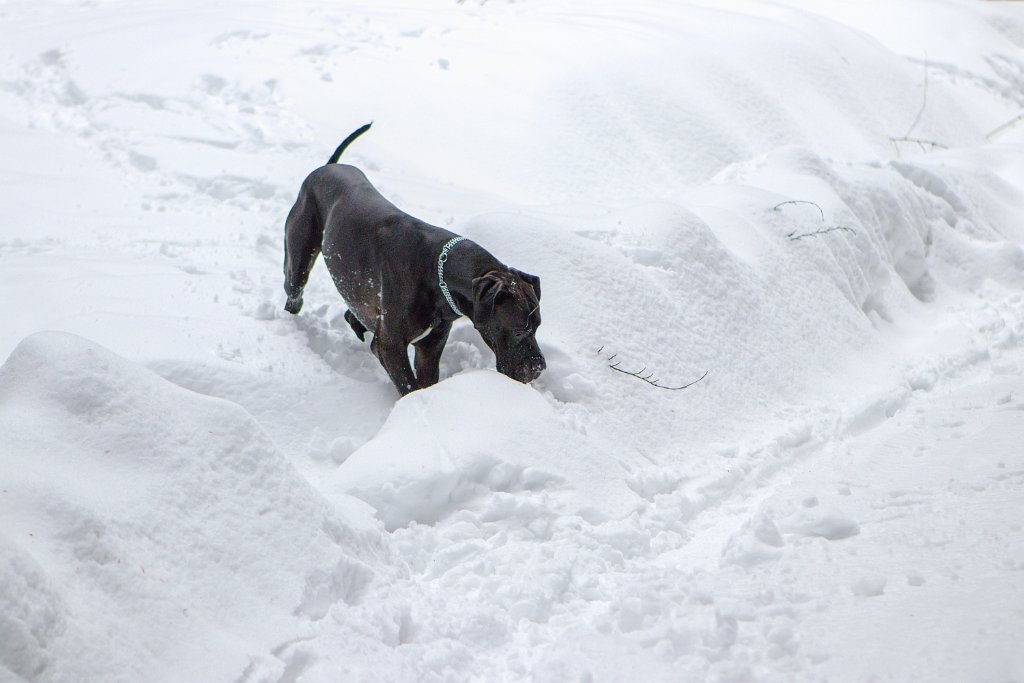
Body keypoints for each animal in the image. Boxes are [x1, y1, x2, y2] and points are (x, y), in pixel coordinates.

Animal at [282, 124, 544, 395]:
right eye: (519, 331)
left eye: (538, 326)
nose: (539, 368)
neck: (436, 271)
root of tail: (328, 166)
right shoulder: (391, 347)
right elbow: (409, 386)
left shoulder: (429, 348)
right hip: (298, 262)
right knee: (294, 293)